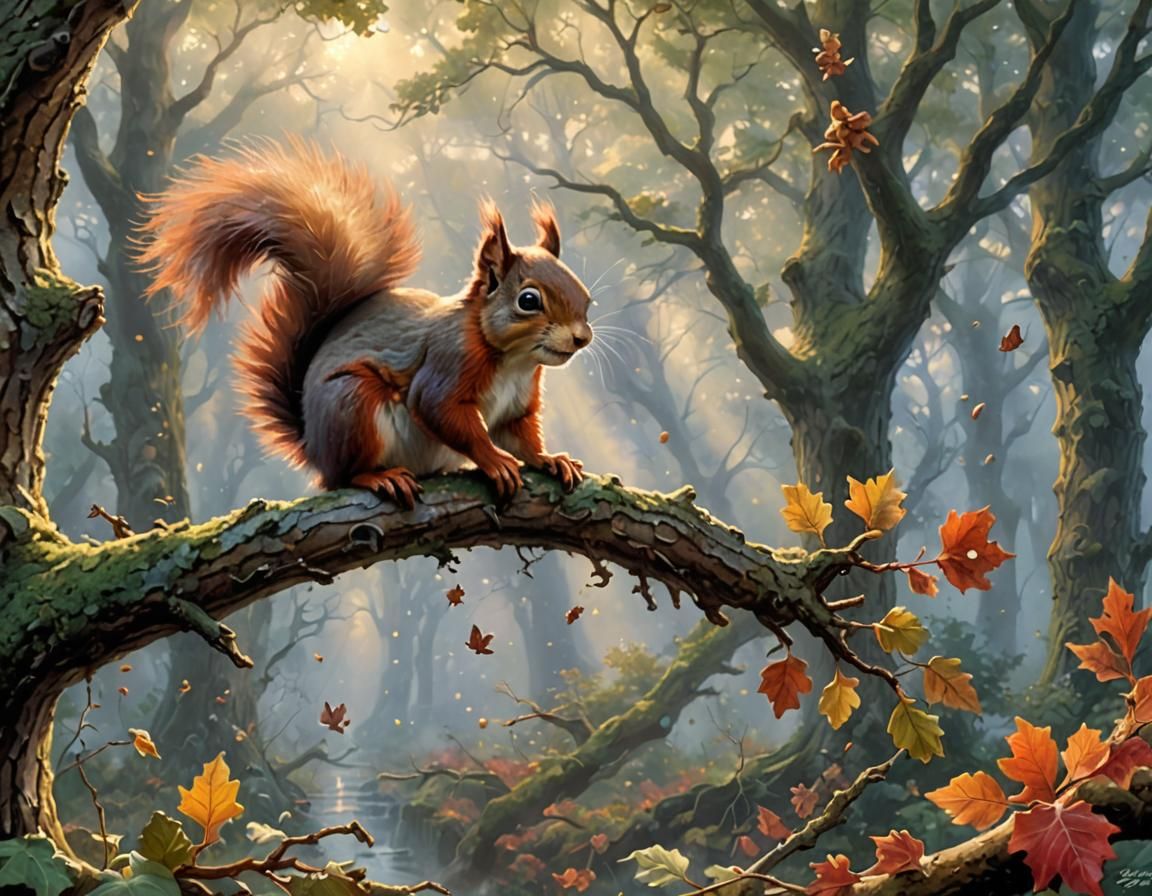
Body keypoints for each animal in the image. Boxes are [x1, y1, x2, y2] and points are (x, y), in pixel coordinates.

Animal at [136, 139, 593, 508]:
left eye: (587, 298)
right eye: (528, 300)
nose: (582, 338)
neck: (513, 359)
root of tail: (314, 445)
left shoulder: (519, 403)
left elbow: (521, 434)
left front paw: (549, 459)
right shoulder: (448, 362)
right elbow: (443, 412)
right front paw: (495, 460)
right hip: (353, 406)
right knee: (343, 477)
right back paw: (380, 477)